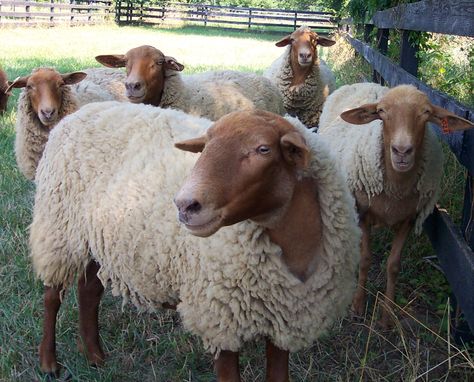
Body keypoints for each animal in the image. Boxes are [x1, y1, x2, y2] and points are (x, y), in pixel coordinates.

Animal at [30, 102, 360, 382]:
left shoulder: (285, 321)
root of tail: (82, 110)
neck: (295, 254)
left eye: (263, 149)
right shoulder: (219, 318)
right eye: (206, 145)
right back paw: (48, 362)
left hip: (96, 238)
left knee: (88, 291)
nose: (185, 205)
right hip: (58, 228)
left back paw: (95, 356)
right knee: (52, 297)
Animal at [316, 83, 474, 328]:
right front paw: (357, 306)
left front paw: (387, 315)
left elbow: (393, 265)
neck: (395, 190)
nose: (401, 151)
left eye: (426, 112)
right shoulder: (363, 213)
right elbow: (365, 260)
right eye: (381, 112)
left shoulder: (409, 219)